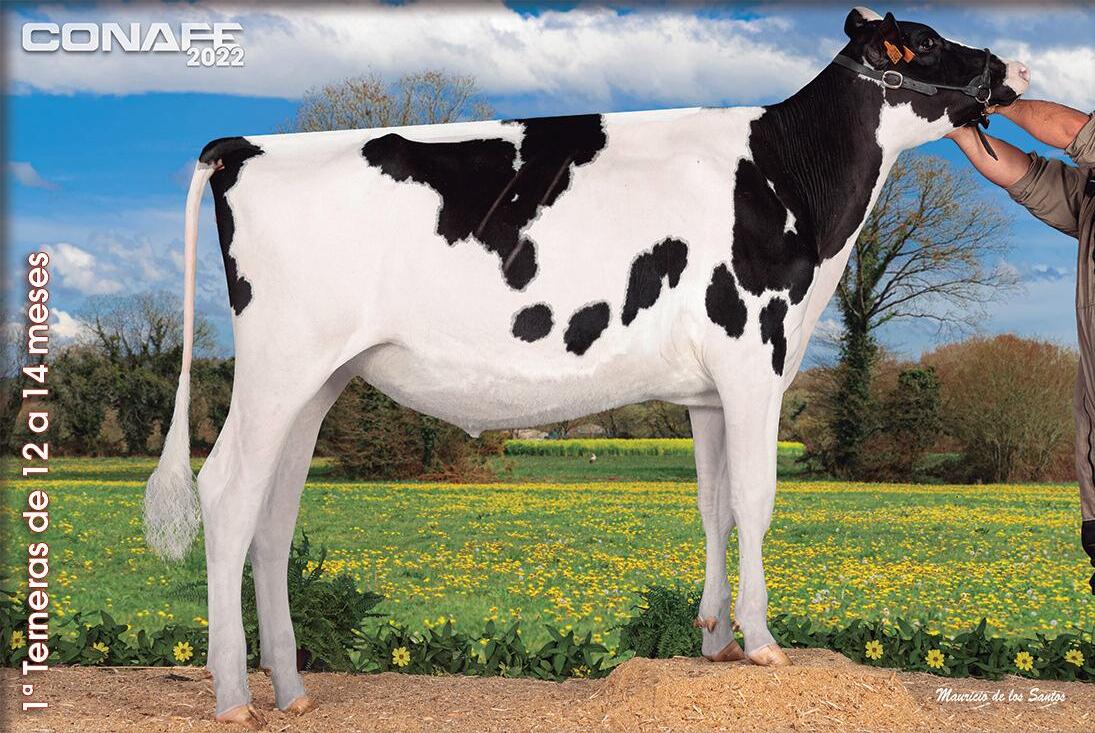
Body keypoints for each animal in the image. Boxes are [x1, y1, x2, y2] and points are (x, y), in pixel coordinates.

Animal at [143, 7, 1029, 728]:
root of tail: (242, 146)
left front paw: (714, 640)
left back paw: (291, 689)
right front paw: (762, 641)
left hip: (317, 380)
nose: (1013, 68)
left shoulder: (707, 391)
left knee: (274, 514)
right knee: (227, 492)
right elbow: (755, 499)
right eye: (925, 40)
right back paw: (233, 696)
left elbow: (713, 507)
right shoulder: (753, 353)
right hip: (279, 364)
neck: (789, 176)